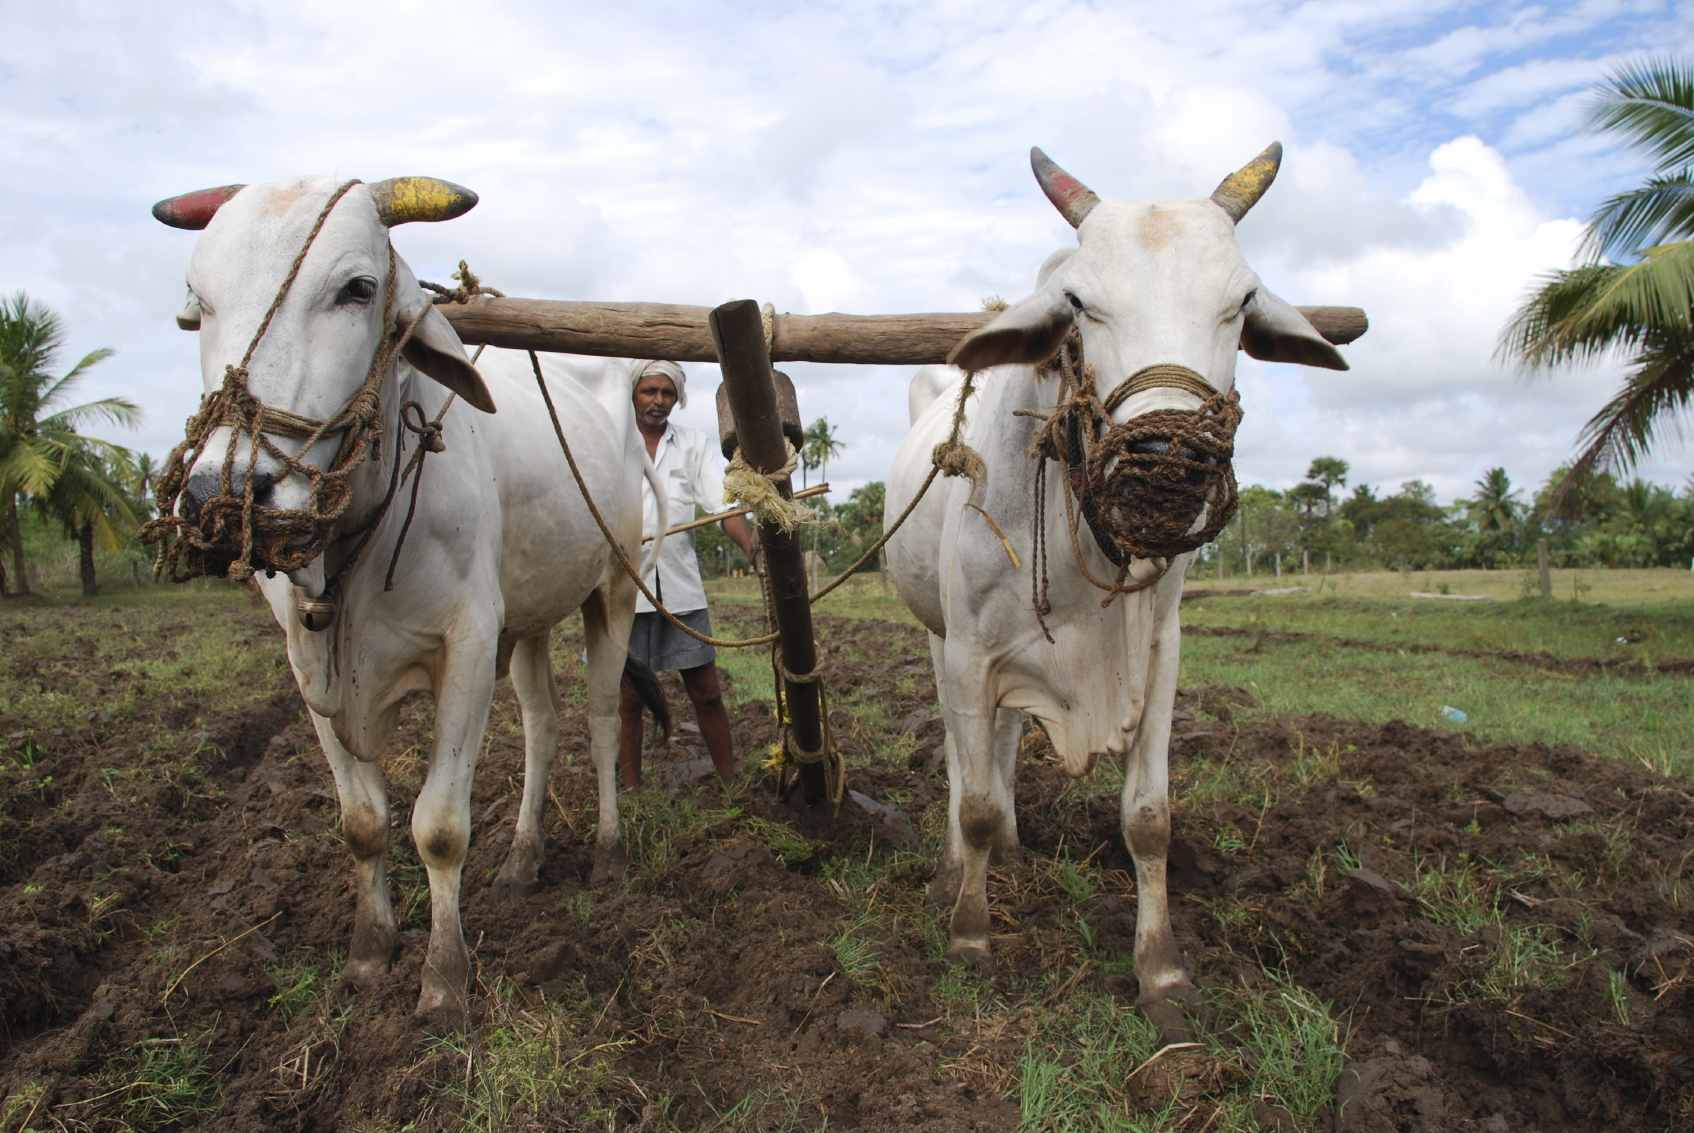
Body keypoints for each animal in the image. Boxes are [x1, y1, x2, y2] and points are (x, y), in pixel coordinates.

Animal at [145, 176, 664, 1022]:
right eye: (197, 303)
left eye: (357, 289)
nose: (221, 497)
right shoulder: (311, 666)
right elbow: (362, 822)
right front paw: (368, 952)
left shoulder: (466, 646)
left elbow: (440, 826)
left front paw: (443, 980)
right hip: (527, 617)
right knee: (542, 726)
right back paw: (521, 860)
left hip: (612, 590)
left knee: (598, 723)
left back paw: (608, 854)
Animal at [887, 143, 1348, 1043]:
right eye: (1078, 301)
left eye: (1242, 300)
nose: (1168, 461)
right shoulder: (970, 649)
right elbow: (974, 801)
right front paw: (969, 935)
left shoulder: (1161, 655)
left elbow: (1148, 818)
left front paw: (1161, 971)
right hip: (938, 636)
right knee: (963, 757)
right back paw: (957, 871)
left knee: (1000, 742)